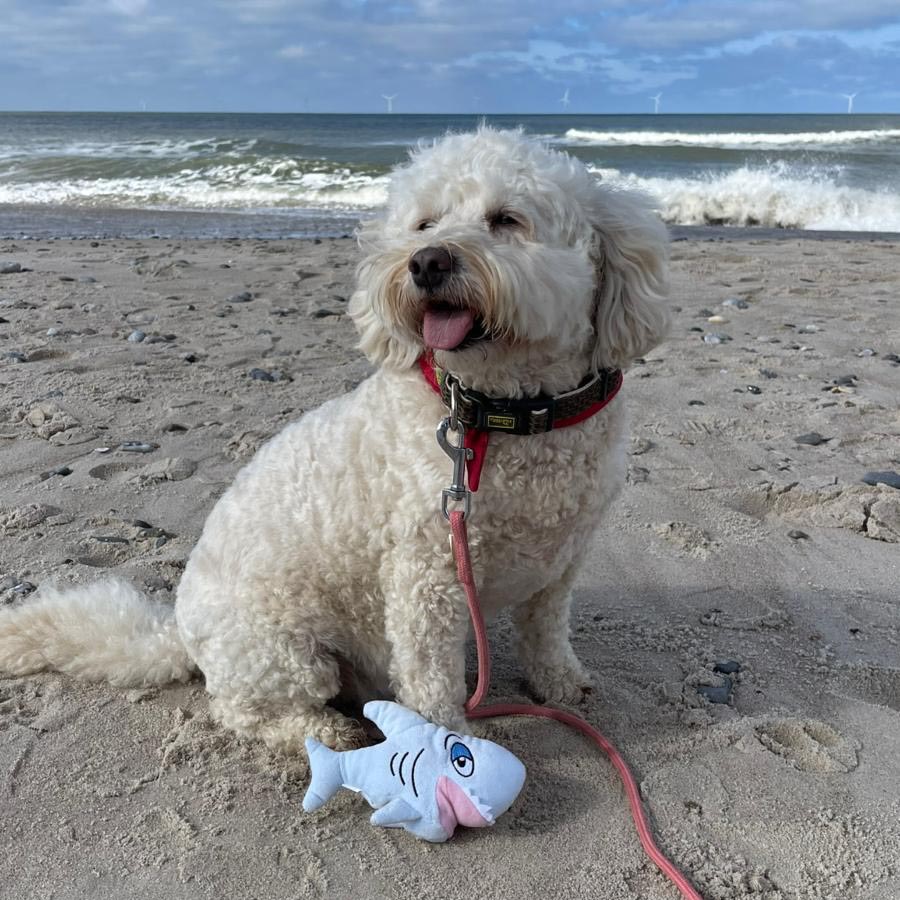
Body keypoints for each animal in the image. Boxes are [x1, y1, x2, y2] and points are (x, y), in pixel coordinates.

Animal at [0, 128, 668, 752]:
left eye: (506, 219)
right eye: (424, 223)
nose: (426, 262)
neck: (501, 411)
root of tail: (182, 635)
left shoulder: (560, 566)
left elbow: (546, 631)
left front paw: (561, 685)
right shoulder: (426, 581)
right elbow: (431, 681)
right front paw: (447, 747)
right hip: (282, 650)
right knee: (246, 711)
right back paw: (325, 731)